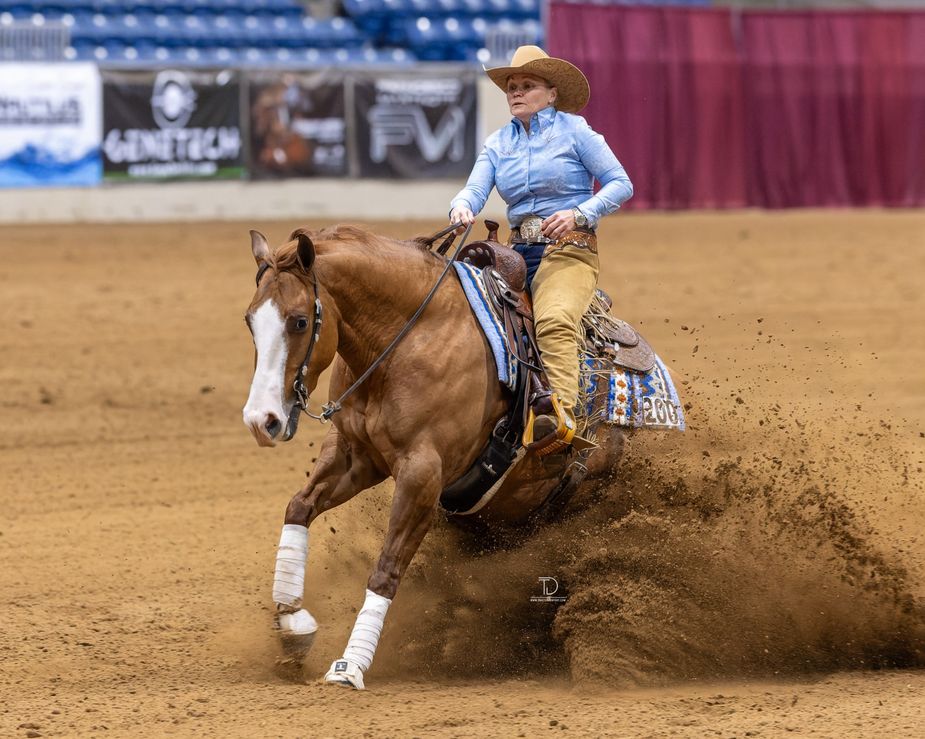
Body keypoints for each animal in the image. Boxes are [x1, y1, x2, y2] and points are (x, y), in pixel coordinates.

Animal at [242, 224, 631, 689]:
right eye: (250, 320)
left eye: (300, 321)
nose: (261, 420)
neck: (408, 339)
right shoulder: (356, 455)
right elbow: (299, 507)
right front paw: (293, 625)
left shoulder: (423, 474)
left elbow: (387, 568)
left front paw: (349, 666)